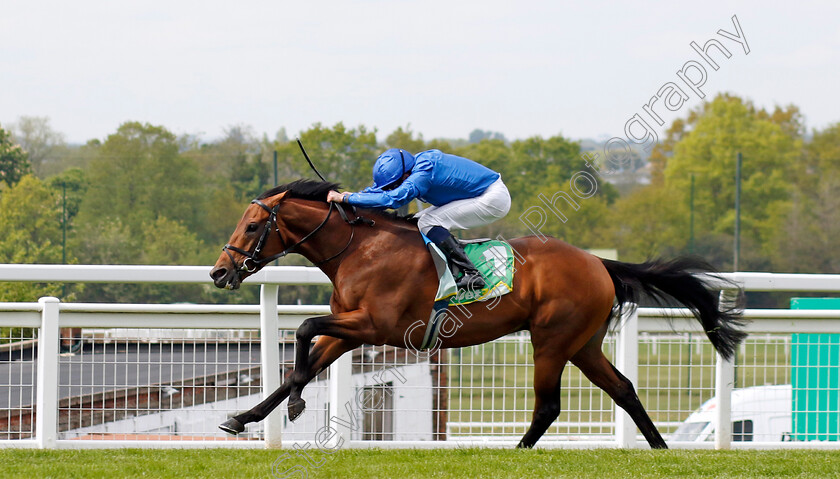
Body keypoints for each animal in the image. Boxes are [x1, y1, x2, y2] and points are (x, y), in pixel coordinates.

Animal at [208, 180, 740, 450]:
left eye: (252, 226)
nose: (219, 271)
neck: (362, 249)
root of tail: (598, 262)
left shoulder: (375, 325)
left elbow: (302, 328)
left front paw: (297, 403)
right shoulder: (351, 329)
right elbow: (297, 364)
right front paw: (244, 417)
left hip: (550, 340)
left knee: (549, 405)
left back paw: (519, 451)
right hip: (583, 344)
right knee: (624, 388)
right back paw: (659, 448)